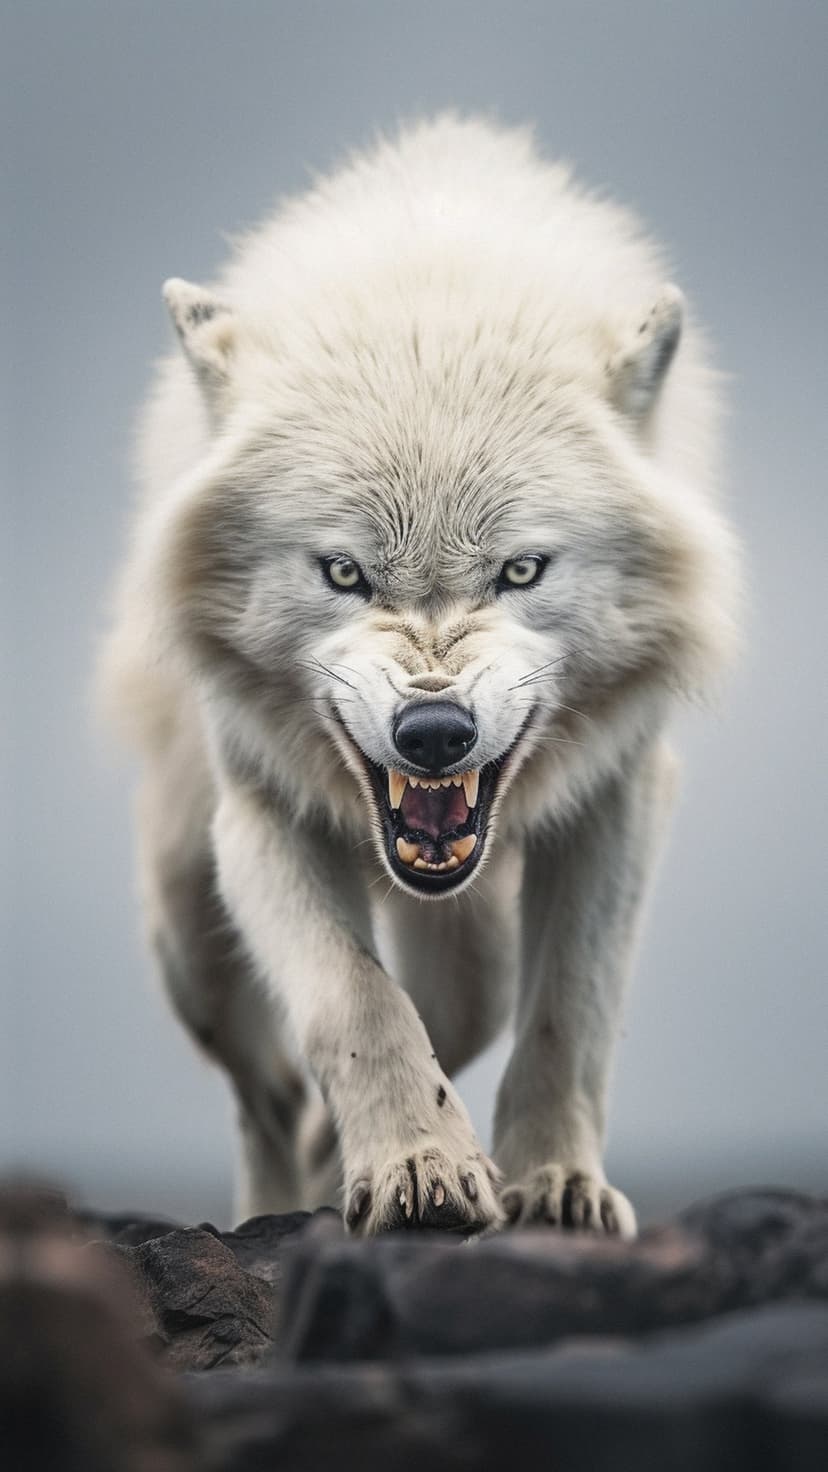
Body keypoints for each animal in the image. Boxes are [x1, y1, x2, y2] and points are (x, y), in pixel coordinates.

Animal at [99, 116, 738, 1237]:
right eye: (345, 573)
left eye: (520, 570)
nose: (434, 733)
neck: (429, 292)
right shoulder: (260, 816)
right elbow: (355, 1000)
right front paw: (419, 1166)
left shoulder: (620, 796)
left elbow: (566, 1009)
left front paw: (552, 1185)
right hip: (188, 928)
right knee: (265, 1096)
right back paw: (283, 1191)